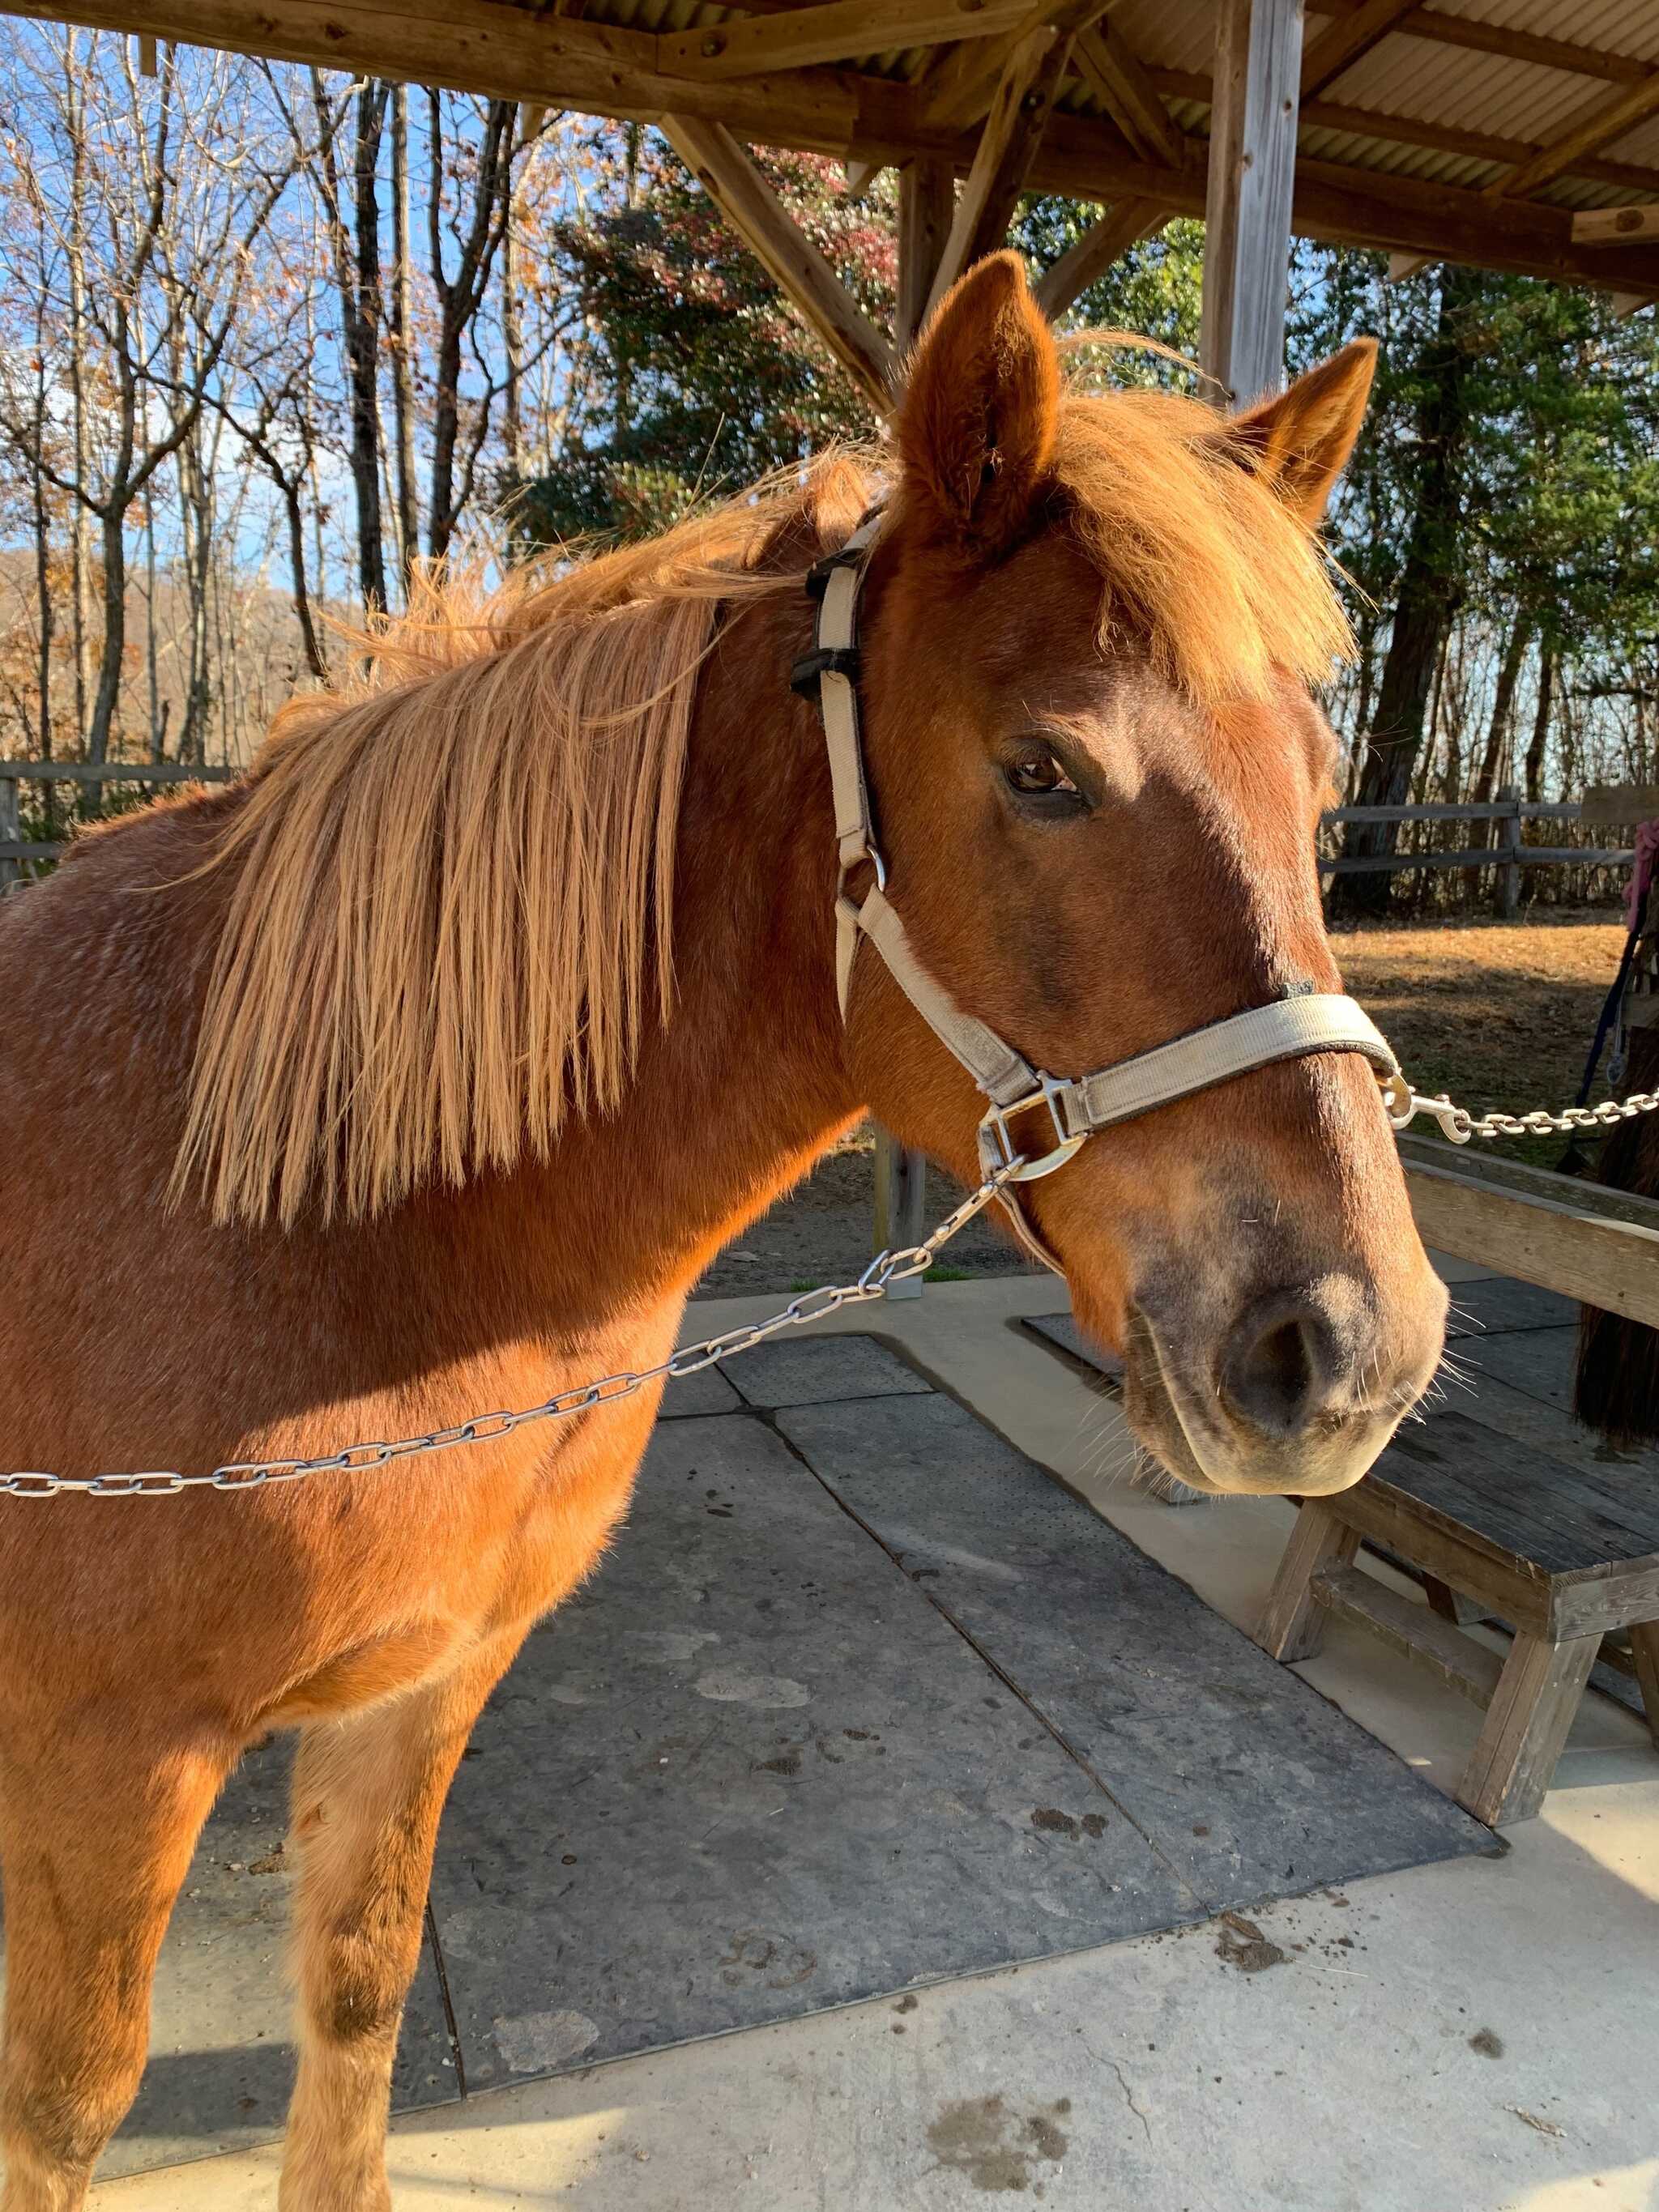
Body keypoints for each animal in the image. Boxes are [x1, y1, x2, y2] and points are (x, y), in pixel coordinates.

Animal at [0, 252, 1446, 2210]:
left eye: (1315, 771)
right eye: (1043, 770)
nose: (1346, 1347)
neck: (319, 1221)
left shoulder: (422, 1690)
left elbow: (356, 1997)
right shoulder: (110, 1769)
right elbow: (67, 2106)